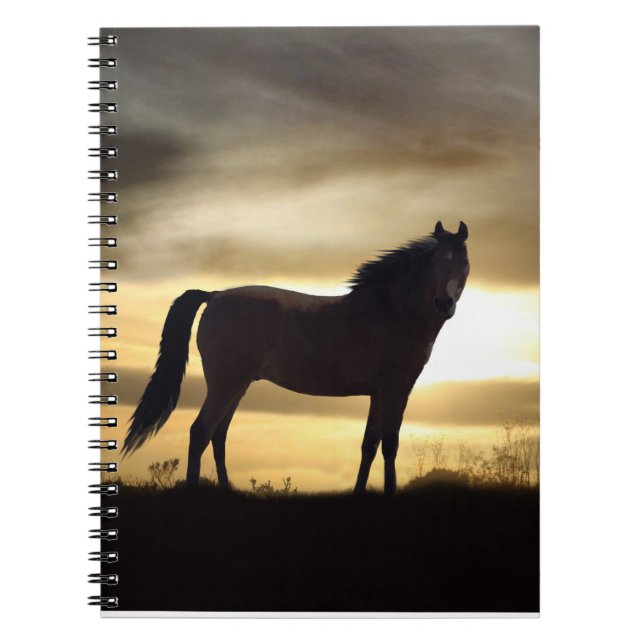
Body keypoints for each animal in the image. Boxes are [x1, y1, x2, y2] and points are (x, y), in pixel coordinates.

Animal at [123, 220, 470, 495]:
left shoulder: (378, 394)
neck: (394, 311)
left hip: (238, 386)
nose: (444, 303)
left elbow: (369, 445)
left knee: (219, 436)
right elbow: (390, 444)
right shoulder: (396, 390)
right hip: (225, 385)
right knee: (201, 432)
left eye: (463, 261)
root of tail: (215, 296)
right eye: (434, 260)